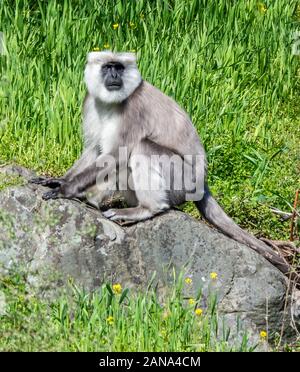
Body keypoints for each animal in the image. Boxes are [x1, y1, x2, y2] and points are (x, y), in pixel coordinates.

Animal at [30, 50, 288, 274]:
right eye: (108, 67)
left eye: (119, 68)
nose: (114, 76)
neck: (113, 102)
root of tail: (202, 182)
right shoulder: (91, 102)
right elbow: (94, 149)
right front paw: (58, 180)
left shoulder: (134, 109)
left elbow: (116, 155)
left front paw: (66, 189)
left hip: (181, 179)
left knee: (142, 148)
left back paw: (142, 208)